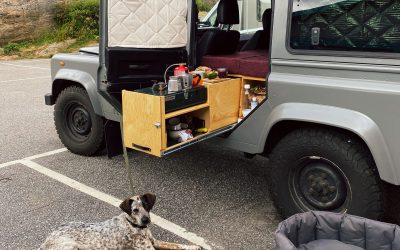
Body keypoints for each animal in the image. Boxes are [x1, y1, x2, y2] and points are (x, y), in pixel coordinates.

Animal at [39, 193, 202, 250]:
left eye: (146, 206)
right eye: (135, 210)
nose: (146, 220)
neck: (134, 225)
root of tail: (46, 239)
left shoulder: (154, 242)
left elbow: (177, 245)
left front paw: (193, 246)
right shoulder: (148, 248)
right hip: (71, 246)